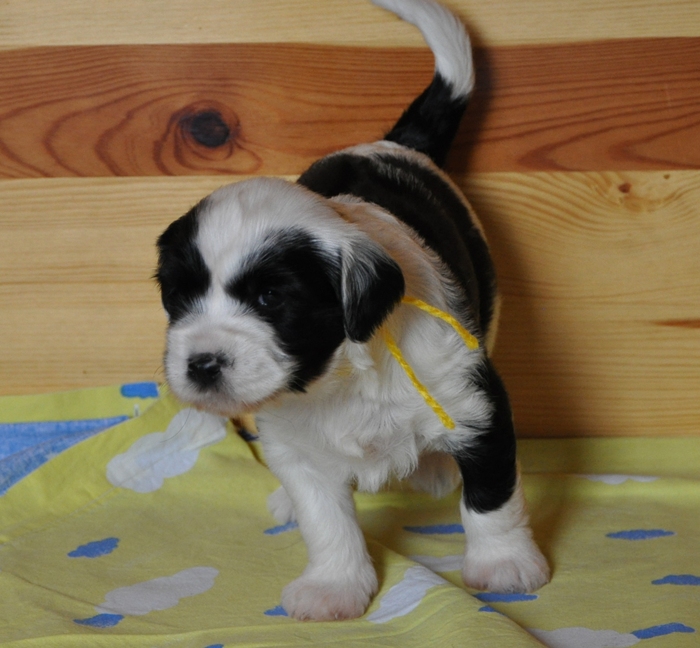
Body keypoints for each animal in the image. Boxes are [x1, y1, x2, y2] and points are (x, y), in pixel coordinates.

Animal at [155, 0, 550, 621]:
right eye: (177, 297)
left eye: (270, 298)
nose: (202, 364)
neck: (340, 378)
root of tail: (393, 143)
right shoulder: (295, 447)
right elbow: (325, 518)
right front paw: (333, 585)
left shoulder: (477, 401)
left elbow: (492, 495)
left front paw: (504, 563)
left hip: (489, 308)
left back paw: (439, 468)